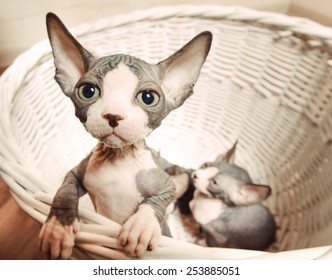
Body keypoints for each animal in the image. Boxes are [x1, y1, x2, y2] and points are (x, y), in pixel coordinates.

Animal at [37, 12, 211, 258]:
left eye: (148, 97)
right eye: (88, 91)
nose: (113, 115)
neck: (118, 158)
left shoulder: (166, 185)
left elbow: (156, 200)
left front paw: (141, 227)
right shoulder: (77, 173)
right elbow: (65, 190)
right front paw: (58, 228)